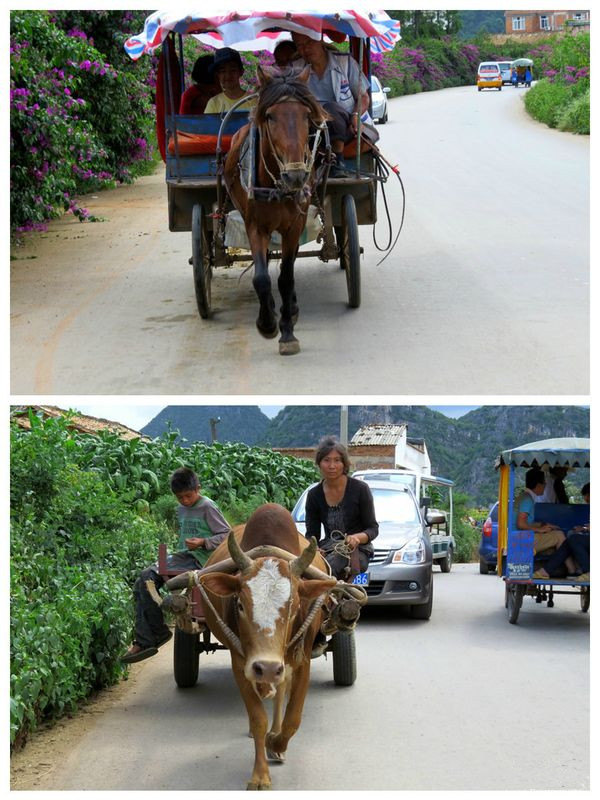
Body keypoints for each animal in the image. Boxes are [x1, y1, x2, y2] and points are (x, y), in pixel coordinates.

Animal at [224, 67, 328, 354]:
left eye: (306, 115)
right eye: (270, 116)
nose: (296, 176)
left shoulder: (294, 225)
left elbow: (286, 277)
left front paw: (287, 331)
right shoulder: (254, 225)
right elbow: (261, 278)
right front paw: (268, 323)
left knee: (285, 268)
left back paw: (290, 308)